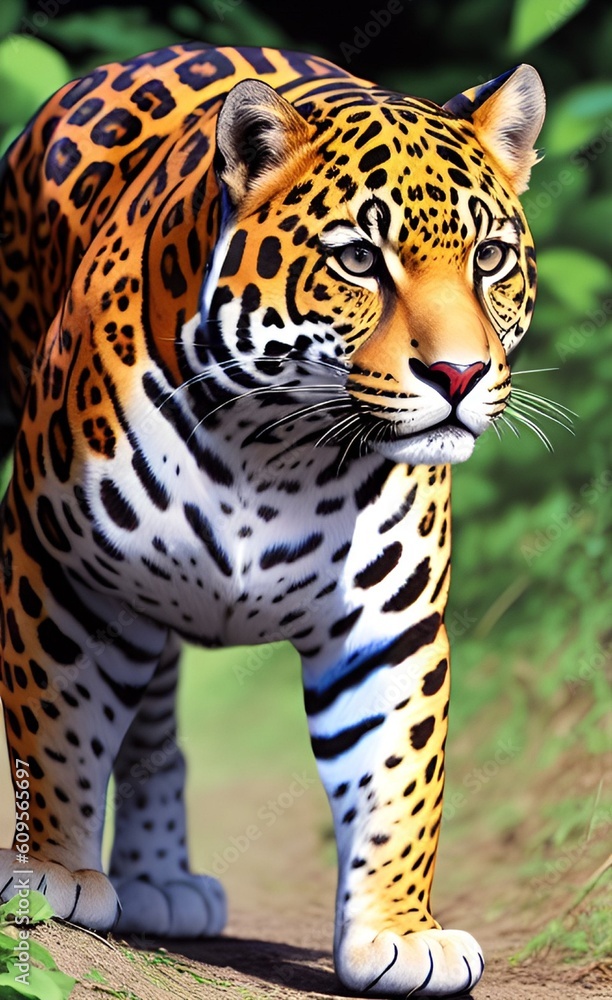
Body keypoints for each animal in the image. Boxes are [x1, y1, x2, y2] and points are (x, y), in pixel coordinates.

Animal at [0, 43, 545, 996]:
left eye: (489, 258)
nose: (460, 374)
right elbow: (54, 721)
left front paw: (400, 931)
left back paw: (161, 878)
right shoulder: (55, 565)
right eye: (359, 259)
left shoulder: (387, 627)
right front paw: (51, 870)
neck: (276, 449)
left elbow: (400, 777)